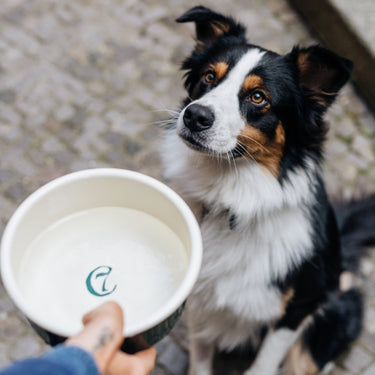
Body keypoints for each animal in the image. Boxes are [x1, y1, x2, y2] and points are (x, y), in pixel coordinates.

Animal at [161, 6, 375, 375]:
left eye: (258, 97)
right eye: (208, 77)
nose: (194, 116)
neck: (231, 198)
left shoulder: (298, 309)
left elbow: (263, 365)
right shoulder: (200, 296)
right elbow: (201, 355)